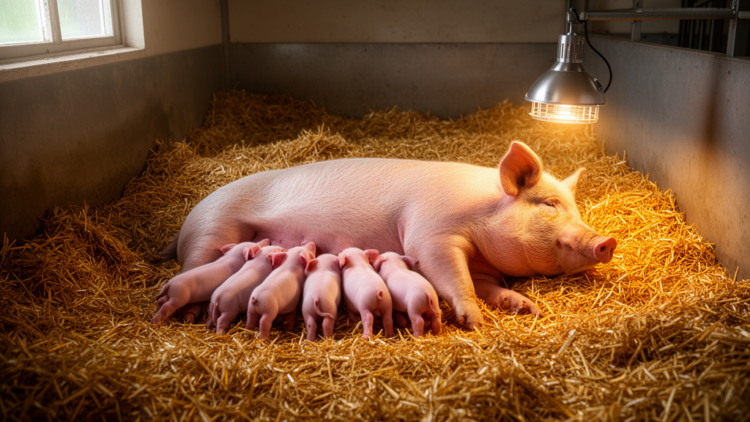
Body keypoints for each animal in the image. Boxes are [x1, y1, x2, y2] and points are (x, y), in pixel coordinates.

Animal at [161, 141, 617, 330]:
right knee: (186, 275)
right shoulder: (429, 233)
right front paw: (474, 322)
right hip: (212, 230)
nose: (606, 241)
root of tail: (186, 221)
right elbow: (454, 278)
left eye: (575, 208)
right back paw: (189, 315)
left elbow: (486, 285)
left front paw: (525, 307)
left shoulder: (484, 267)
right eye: (548, 205)